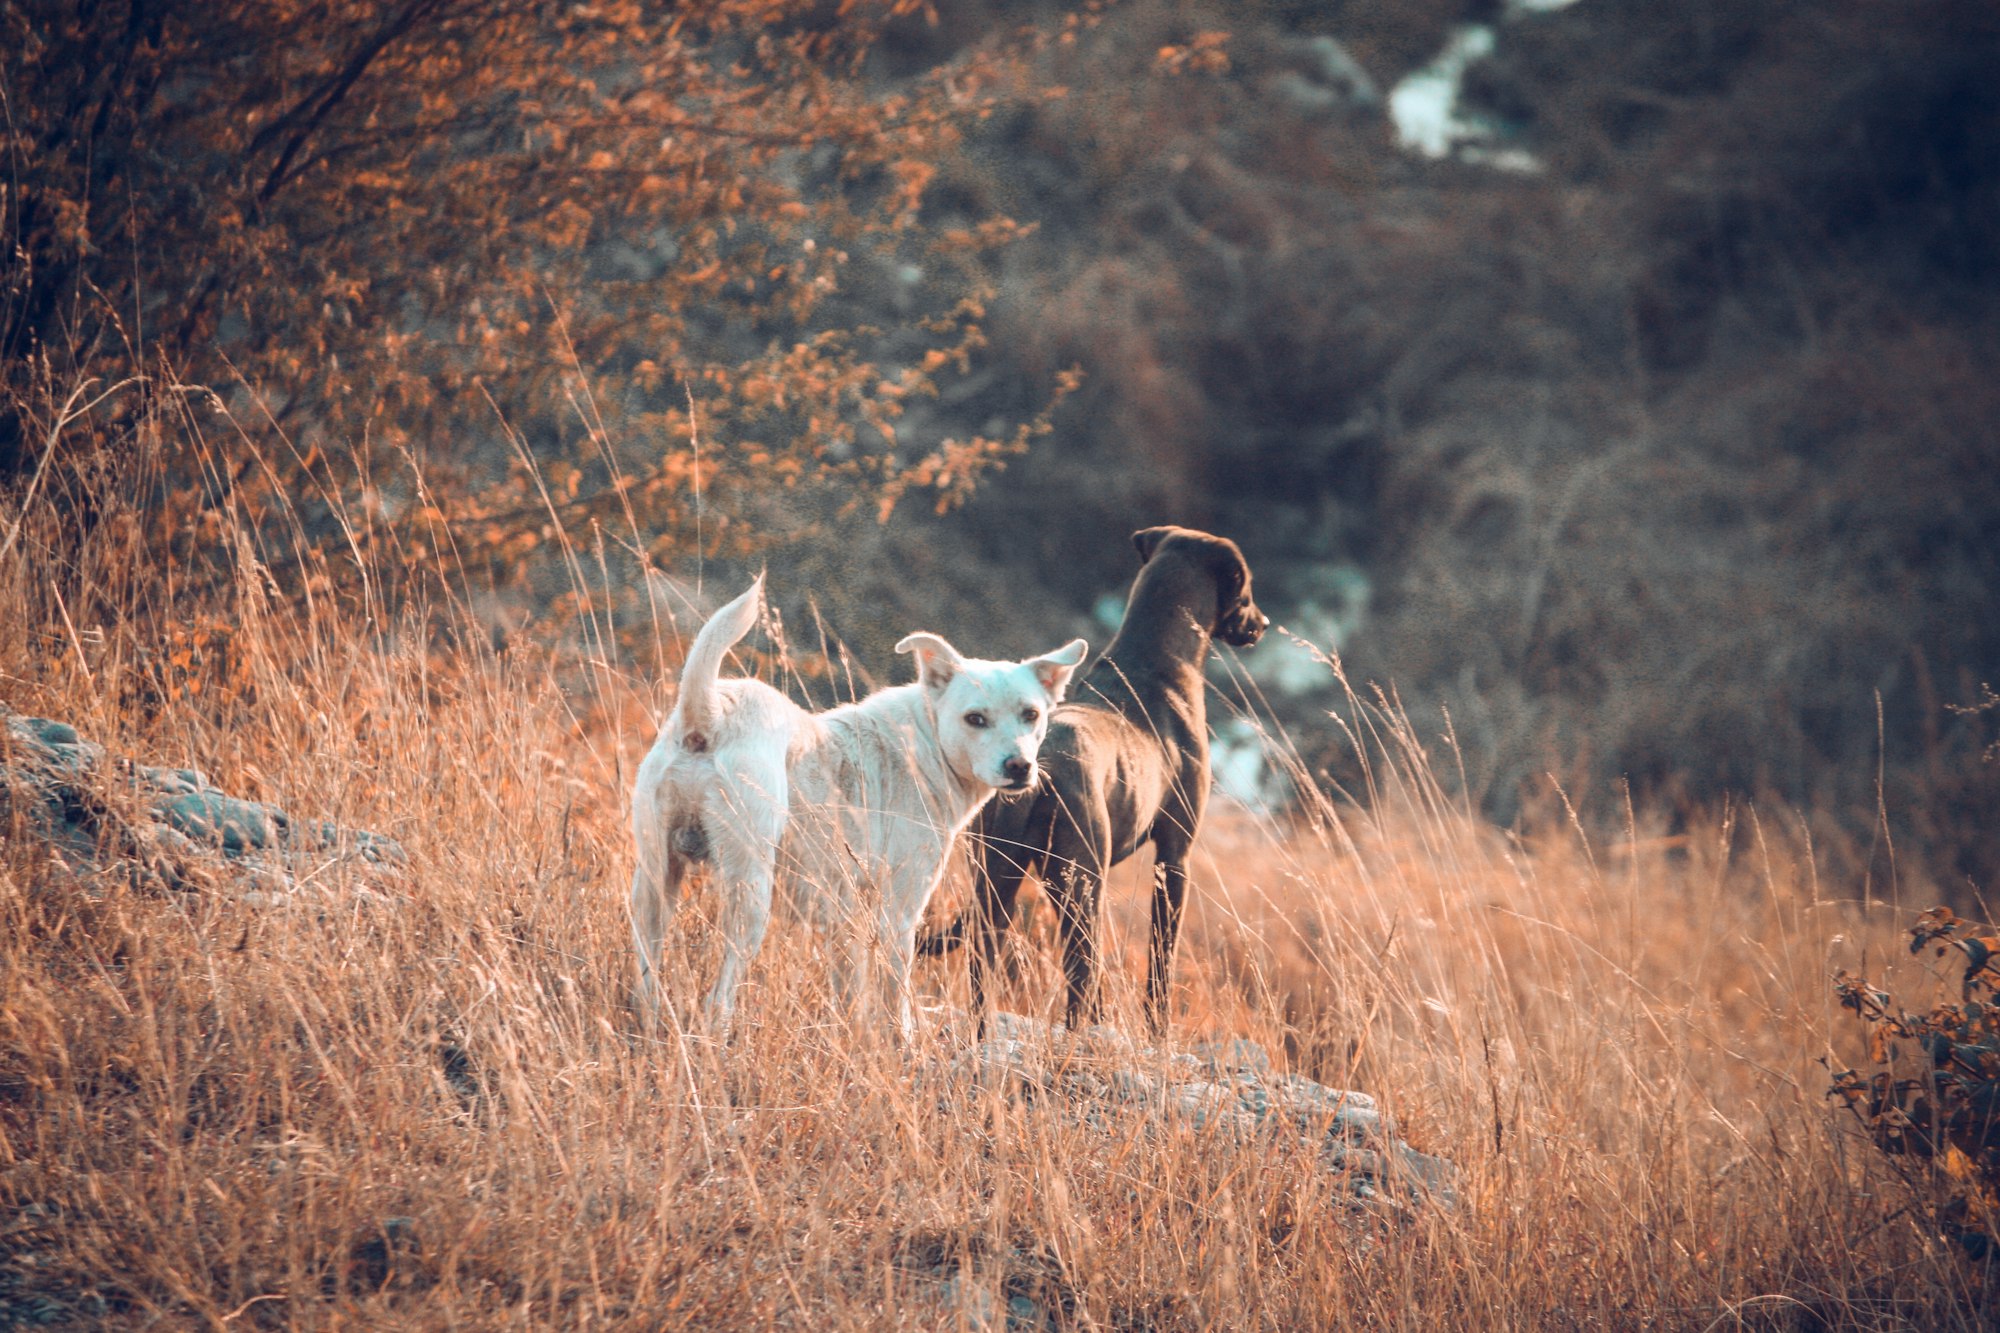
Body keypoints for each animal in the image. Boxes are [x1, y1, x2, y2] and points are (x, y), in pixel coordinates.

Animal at [632, 580, 1088, 1040]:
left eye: (1030, 714)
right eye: (974, 719)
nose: (1019, 767)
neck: (924, 742)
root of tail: (709, 715)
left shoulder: (844, 921)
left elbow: (850, 993)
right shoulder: (899, 913)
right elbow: (894, 995)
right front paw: (902, 1043)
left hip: (654, 885)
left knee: (648, 974)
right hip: (749, 894)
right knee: (720, 995)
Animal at [920, 524, 1264, 1032]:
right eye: (1246, 586)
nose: (1261, 623)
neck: (1157, 664)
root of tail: (1032, 773)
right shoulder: (1175, 857)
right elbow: (1160, 962)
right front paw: (1157, 1031)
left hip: (998, 883)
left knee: (988, 976)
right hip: (1081, 883)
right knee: (1081, 981)